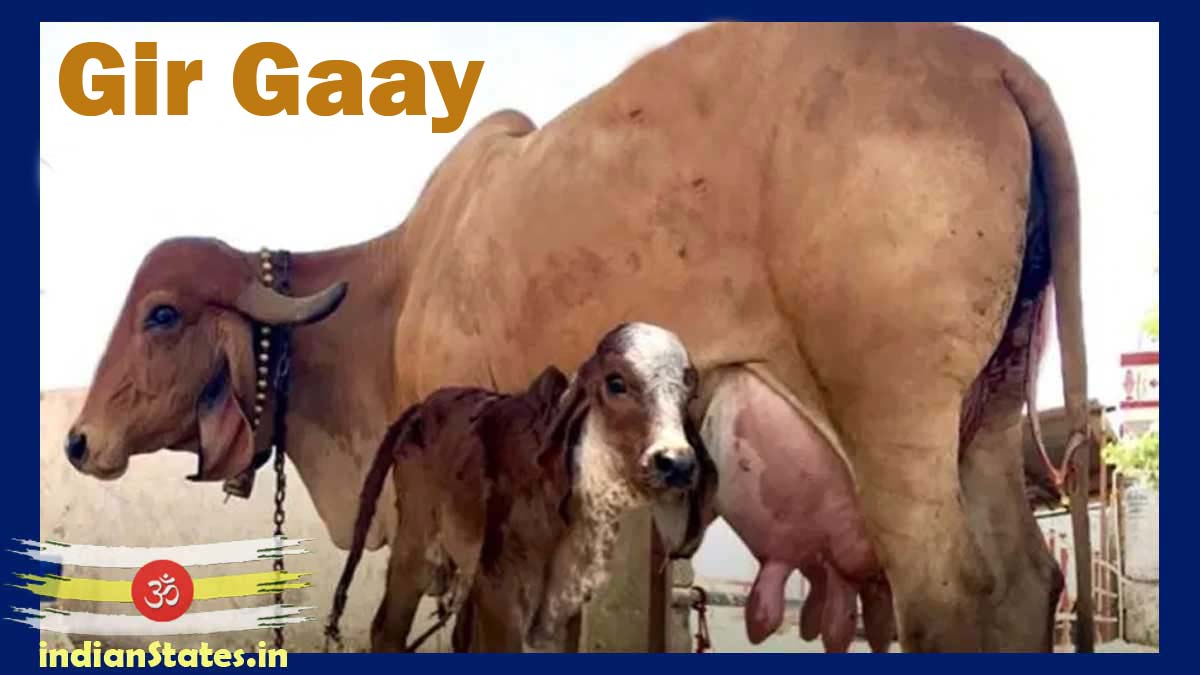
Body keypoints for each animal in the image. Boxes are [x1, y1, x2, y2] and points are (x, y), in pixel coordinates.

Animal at [323, 323, 715, 652]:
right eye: (616, 382)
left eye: (689, 390)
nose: (677, 464)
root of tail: (421, 408)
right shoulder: (500, 591)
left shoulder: (564, 608)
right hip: (417, 547)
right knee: (387, 630)